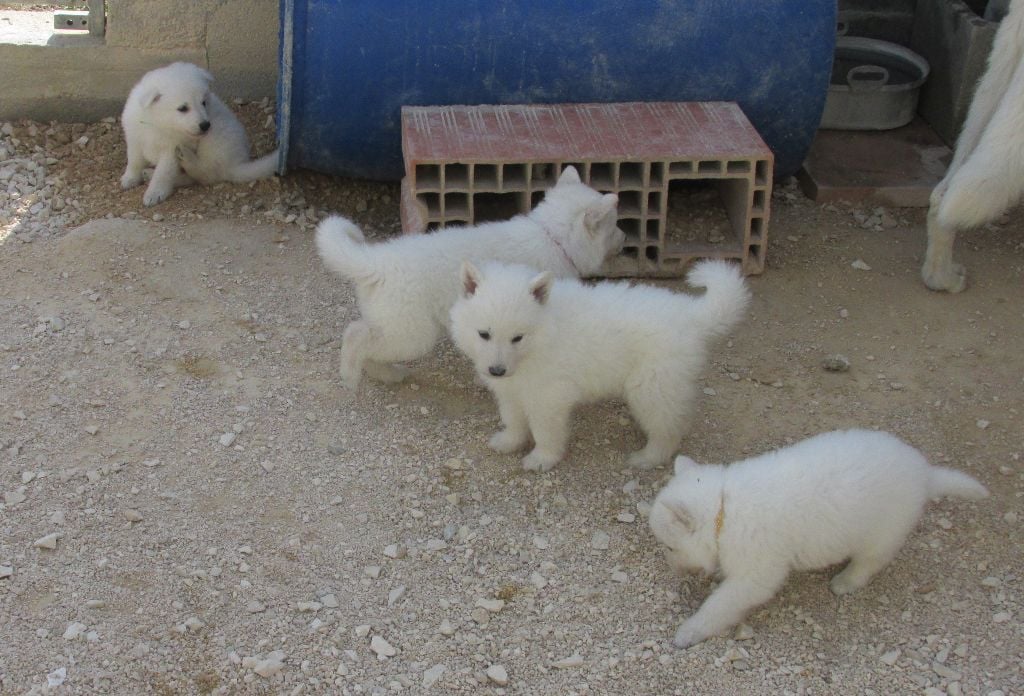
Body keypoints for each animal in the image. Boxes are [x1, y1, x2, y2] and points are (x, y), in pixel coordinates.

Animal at [119, 61, 278, 206]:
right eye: (183, 108)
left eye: (203, 103)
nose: (206, 125)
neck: (157, 123)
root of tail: (236, 164)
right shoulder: (134, 140)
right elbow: (134, 161)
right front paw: (130, 178)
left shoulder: (170, 150)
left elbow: (163, 173)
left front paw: (155, 193)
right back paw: (150, 173)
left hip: (215, 138)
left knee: (206, 173)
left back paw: (186, 157)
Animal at [315, 164, 622, 388]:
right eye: (614, 225)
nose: (625, 236)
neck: (552, 235)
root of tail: (375, 262)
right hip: (412, 334)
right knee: (357, 335)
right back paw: (352, 374)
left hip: (392, 325)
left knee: (367, 340)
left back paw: (385, 374)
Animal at [452, 257, 749, 470]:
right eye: (484, 334)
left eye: (517, 337)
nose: (496, 371)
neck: (543, 335)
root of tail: (691, 314)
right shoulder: (512, 391)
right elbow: (513, 419)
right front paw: (509, 442)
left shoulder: (550, 397)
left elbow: (545, 431)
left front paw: (542, 458)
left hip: (652, 387)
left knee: (668, 428)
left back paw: (648, 458)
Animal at [651, 427, 987, 650]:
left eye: (670, 547)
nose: (672, 569)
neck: (724, 508)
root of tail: (925, 473)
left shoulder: (757, 573)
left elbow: (720, 604)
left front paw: (690, 631)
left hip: (883, 532)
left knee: (870, 562)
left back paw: (846, 581)